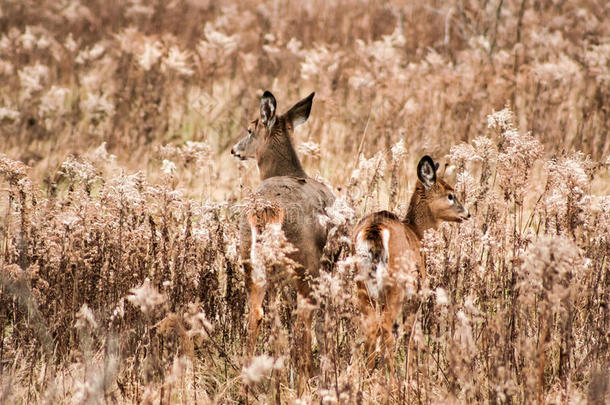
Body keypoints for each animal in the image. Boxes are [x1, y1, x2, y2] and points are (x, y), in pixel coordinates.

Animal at [230, 90, 332, 386]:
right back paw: (305, 379)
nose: (234, 149)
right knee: (302, 321)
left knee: (257, 314)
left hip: (249, 258)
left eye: (249, 129)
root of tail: (267, 210)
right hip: (306, 262)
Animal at [350, 155, 468, 372]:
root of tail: (374, 229)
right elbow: (410, 334)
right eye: (450, 195)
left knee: (371, 326)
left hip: (362, 285)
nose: (467, 214)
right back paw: (391, 375)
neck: (416, 232)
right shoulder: (416, 293)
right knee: (386, 327)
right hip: (396, 286)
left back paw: (368, 373)